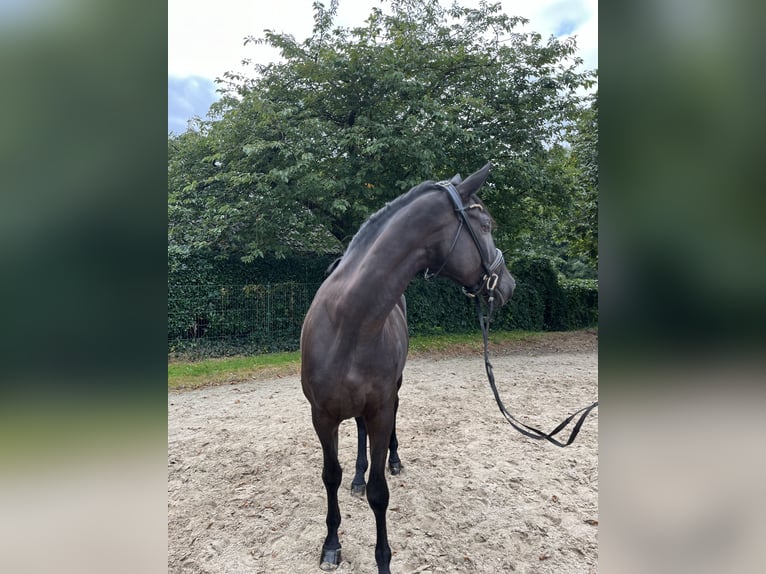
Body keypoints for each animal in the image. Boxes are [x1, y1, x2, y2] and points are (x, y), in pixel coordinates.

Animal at [300, 164, 516, 572]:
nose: (508, 285)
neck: (348, 322)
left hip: (393, 392)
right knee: (360, 436)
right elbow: (330, 476)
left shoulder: (382, 408)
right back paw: (357, 476)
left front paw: (383, 559)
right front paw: (332, 544)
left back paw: (394, 461)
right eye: (485, 224)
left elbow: (379, 492)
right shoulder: (322, 416)